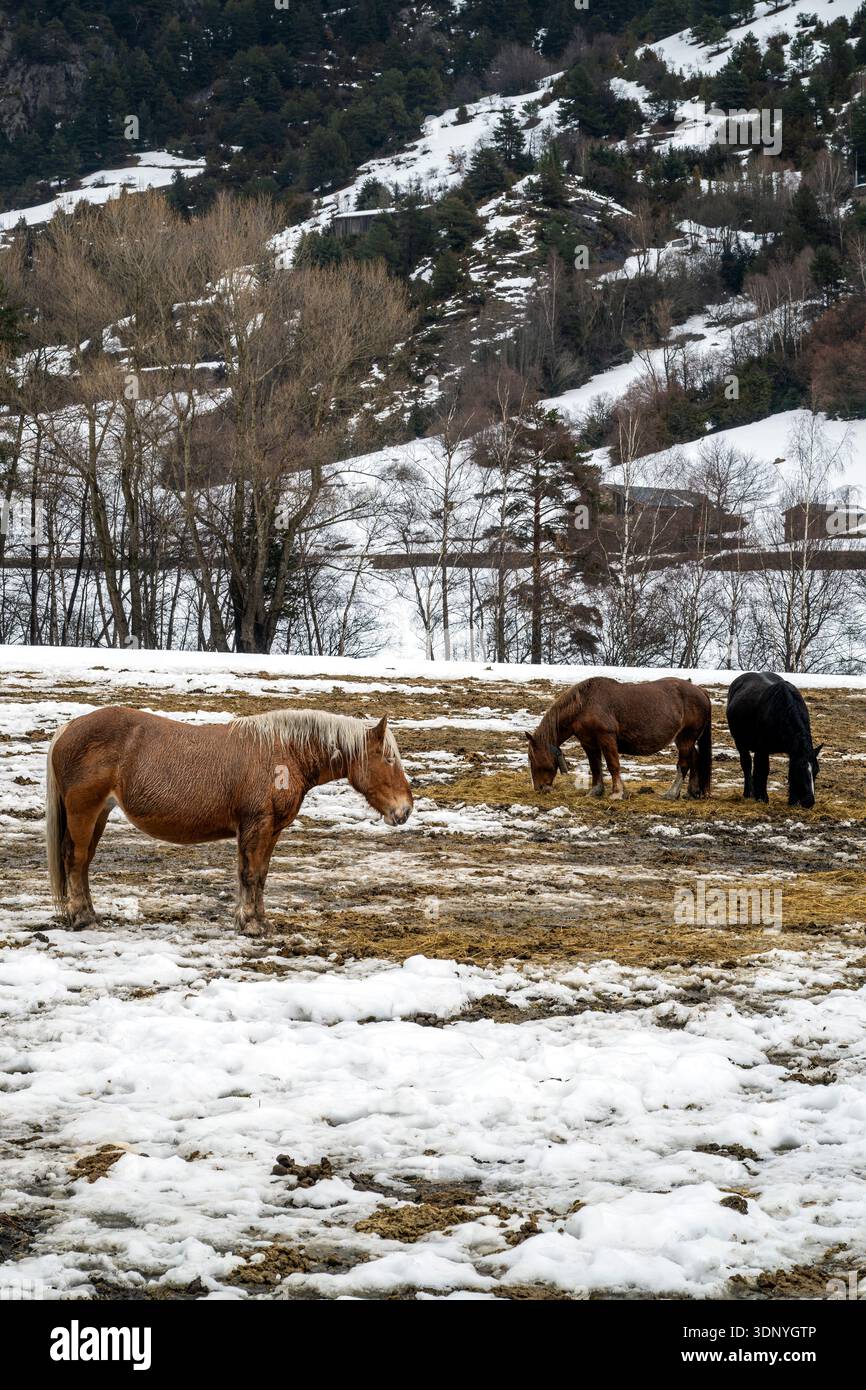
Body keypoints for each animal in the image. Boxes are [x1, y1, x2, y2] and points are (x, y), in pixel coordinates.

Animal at [45, 706, 413, 935]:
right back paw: (82, 918)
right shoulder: (255, 825)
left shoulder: (271, 830)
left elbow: (260, 876)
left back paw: (89, 913)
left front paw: (259, 921)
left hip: (99, 815)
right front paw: (249, 924)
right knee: (75, 860)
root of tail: (68, 728)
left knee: (83, 863)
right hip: (84, 812)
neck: (283, 752)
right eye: (388, 759)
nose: (405, 809)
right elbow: (249, 875)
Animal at [526, 675, 712, 800]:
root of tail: (700, 691)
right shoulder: (588, 742)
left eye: (533, 759)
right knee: (695, 758)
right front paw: (595, 791)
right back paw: (692, 792)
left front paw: (617, 793)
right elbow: (595, 767)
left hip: (686, 738)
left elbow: (613, 765)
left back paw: (672, 793)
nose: (539, 788)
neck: (584, 705)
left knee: (684, 764)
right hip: (684, 739)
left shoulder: (606, 738)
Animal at [726, 672, 822, 809]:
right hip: (740, 743)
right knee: (747, 765)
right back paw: (749, 793)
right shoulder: (763, 749)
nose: (809, 802)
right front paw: (762, 797)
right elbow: (763, 770)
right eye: (800, 770)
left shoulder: (792, 751)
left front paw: (792, 800)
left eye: (816, 771)